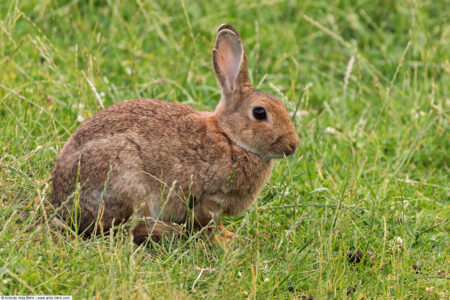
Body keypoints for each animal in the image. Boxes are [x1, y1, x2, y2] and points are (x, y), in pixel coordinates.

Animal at [50, 24, 298, 244]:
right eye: (259, 113)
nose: (293, 146)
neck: (230, 139)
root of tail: (59, 201)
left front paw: (230, 237)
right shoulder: (210, 199)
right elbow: (208, 225)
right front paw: (225, 243)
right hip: (126, 180)